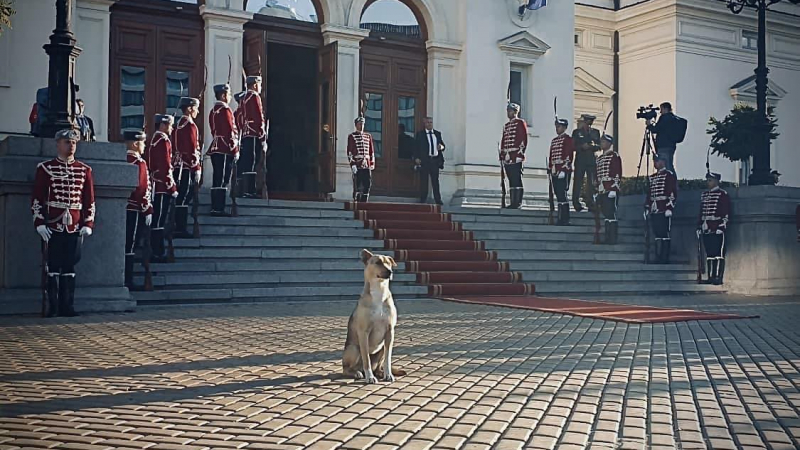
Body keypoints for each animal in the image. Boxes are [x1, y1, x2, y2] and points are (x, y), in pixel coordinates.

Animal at [342, 250, 406, 384]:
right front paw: (370, 377)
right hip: (353, 349)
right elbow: (366, 359)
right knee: (347, 368)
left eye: (389, 263)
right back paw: (356, 373)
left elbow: (388, 358)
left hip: (381, 348)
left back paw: (381, 373)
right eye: (377, 262)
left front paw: (388, 374)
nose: (390, 271)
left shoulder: (390, 332)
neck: (379, 291)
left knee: (378, 366)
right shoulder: (363, 333)